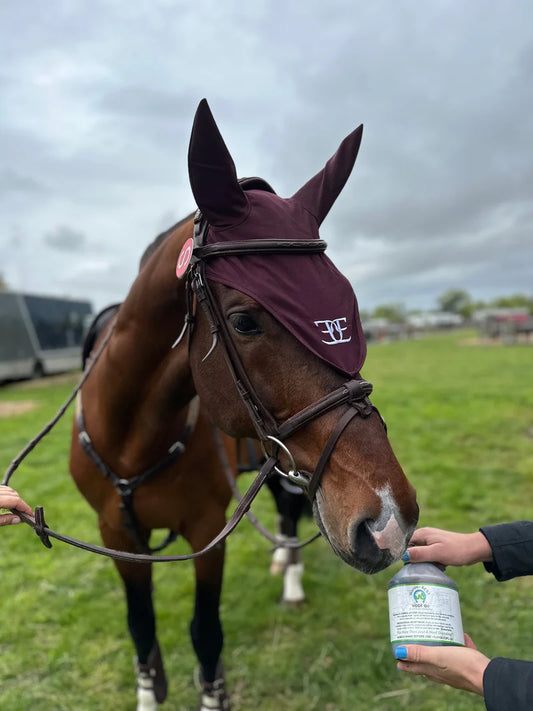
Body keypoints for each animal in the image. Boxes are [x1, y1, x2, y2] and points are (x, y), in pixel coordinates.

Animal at [68, 100, 418, 711]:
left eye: (348, 307)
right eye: (244, 321)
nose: (389, 522)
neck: (133, 437)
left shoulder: (208, 532)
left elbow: (206, 634)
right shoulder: (115, 536)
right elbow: (142, 629)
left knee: (288, 513)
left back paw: (291, 574)